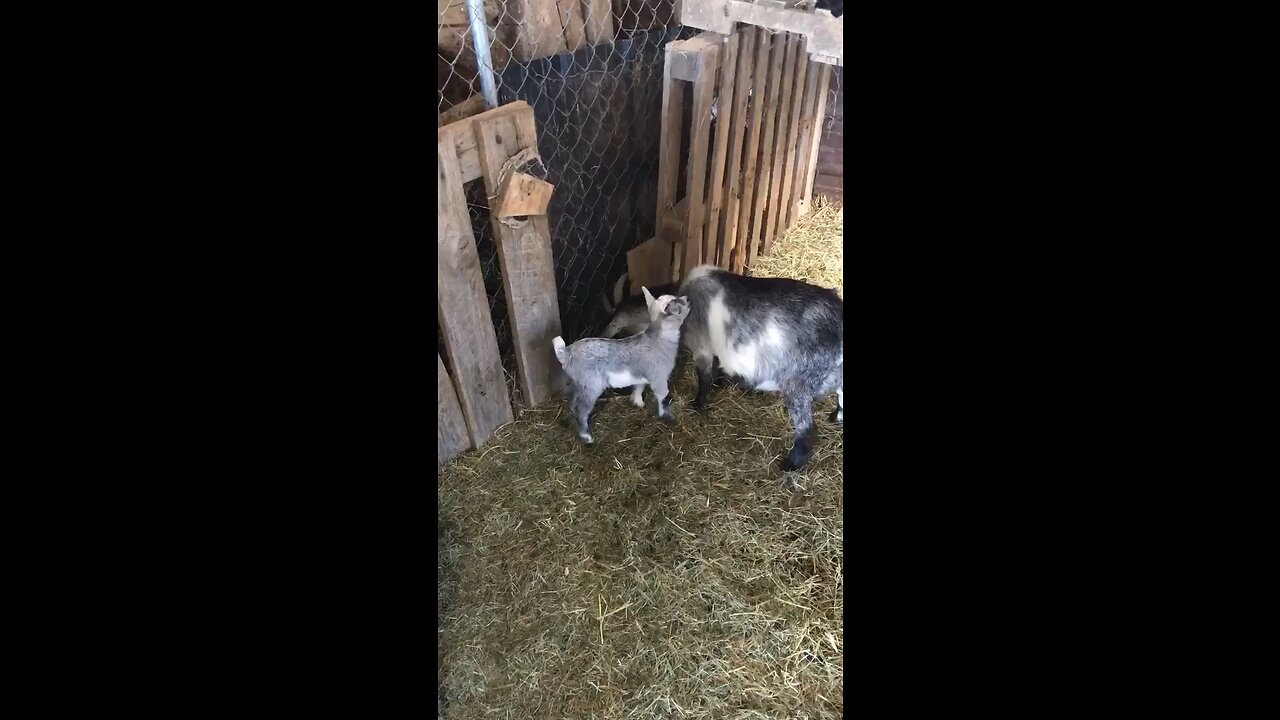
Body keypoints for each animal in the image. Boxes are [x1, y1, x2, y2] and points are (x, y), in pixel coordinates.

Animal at [554, 288, 691, 445]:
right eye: (677, 304)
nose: (688, 299)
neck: (658, 339)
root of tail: (565, 353)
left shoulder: (642, 373)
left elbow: (639, 386)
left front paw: (638, 402)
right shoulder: (659, 377)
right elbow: (662, 396)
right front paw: (666, 417)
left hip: (580, 383)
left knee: (573, 403)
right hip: (591, 385)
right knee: (581, 410)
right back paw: (587, 437)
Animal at [678, 264, 843, 471]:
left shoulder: (702, 347)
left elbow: (704, 376)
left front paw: (698, 404)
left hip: (798, 385)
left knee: (807, 431)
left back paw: (789, 465)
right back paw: (833, 417)